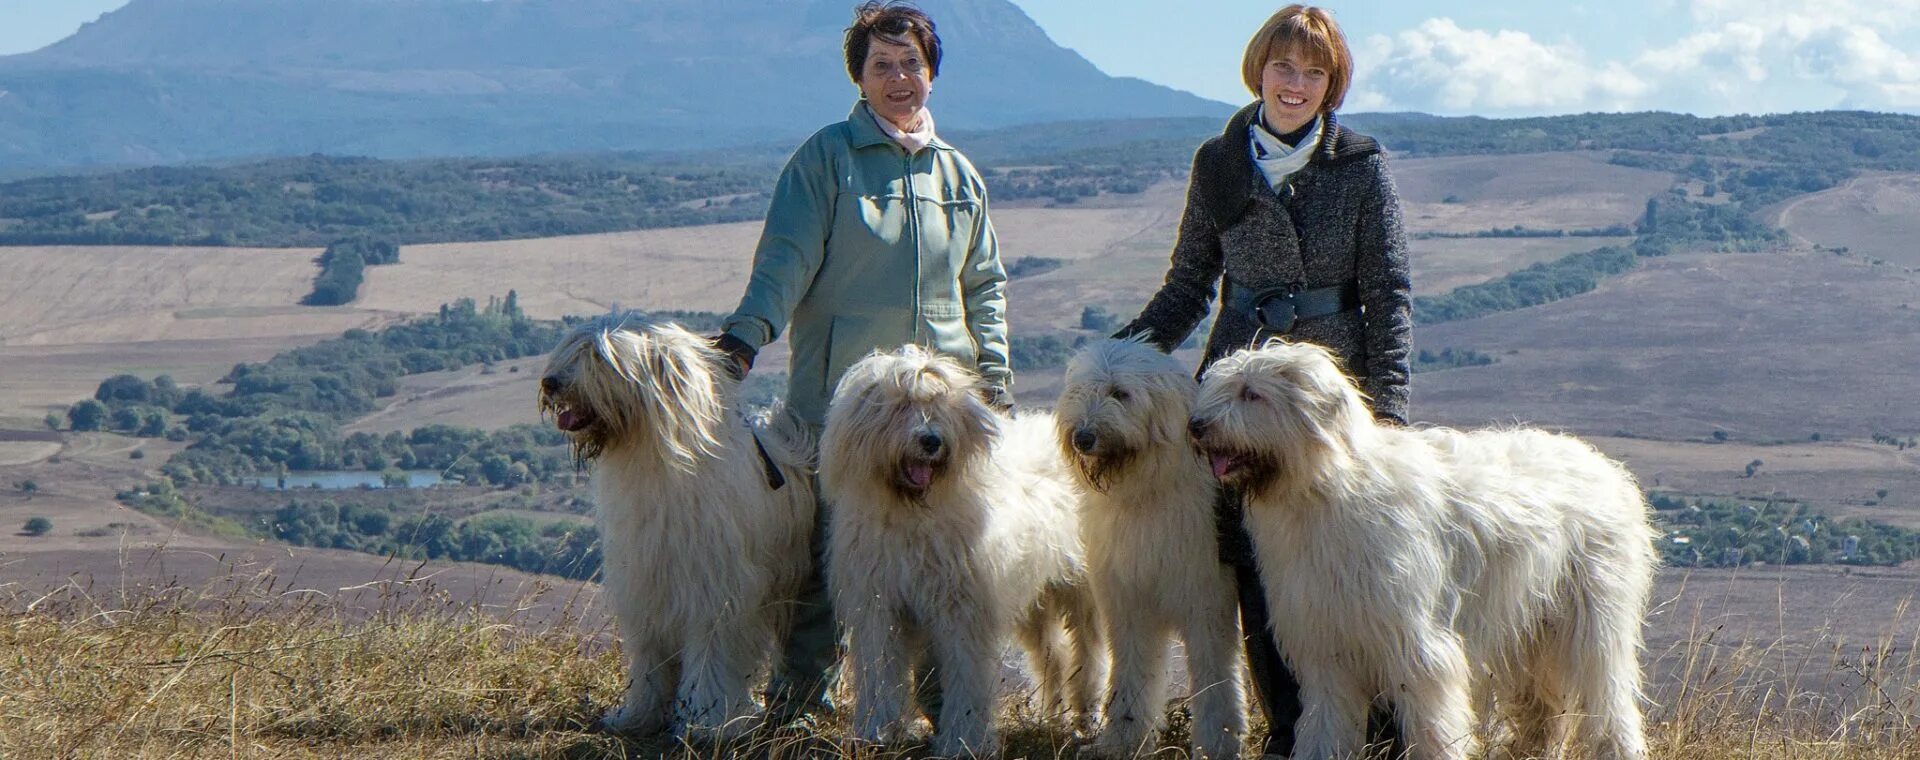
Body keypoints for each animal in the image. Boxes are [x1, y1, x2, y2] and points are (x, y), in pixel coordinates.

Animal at [537, 318, 814, 740]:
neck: (654, 459)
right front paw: (639, 714)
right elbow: (650, 660)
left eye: (601, 359)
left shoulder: (716, 591)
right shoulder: (648, 584)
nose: (550, 382)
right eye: (571, 350)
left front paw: (706, 719)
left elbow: (710, 659)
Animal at [817, 347, 1105, 756]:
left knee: (1089, 650)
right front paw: (875, 731)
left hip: (1080, 586)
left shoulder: (962, 609)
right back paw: (1051, 713)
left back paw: (1086, 714)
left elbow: (965, 673)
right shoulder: (880, 603)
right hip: (1035, 593)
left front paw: (961, 738)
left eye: (939, 404)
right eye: (901, 405)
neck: (913, 512)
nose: (931, 441)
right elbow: (880, 666)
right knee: (1053, 653)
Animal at [1052, 339, 1244, 760]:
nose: (1083, 437)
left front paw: (1218, 740)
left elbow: (1214, 673)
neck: (1147, 494)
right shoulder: (1127, 600)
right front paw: (1123, 737)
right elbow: (1131, 670)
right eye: (1080, 390)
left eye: (1120, 393)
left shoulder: (1206, 598)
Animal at [1182, 339, 1651, 760]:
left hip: (1590, 617)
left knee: (1608, 695)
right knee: (1544, 707)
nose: (1197, 426)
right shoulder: (1327, 639)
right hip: (1530, 625)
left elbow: (1431, 717)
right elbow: (1326, 719)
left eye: (1251, 393)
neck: (1327, 489)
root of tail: (1606, 469)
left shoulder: (1414, 639)